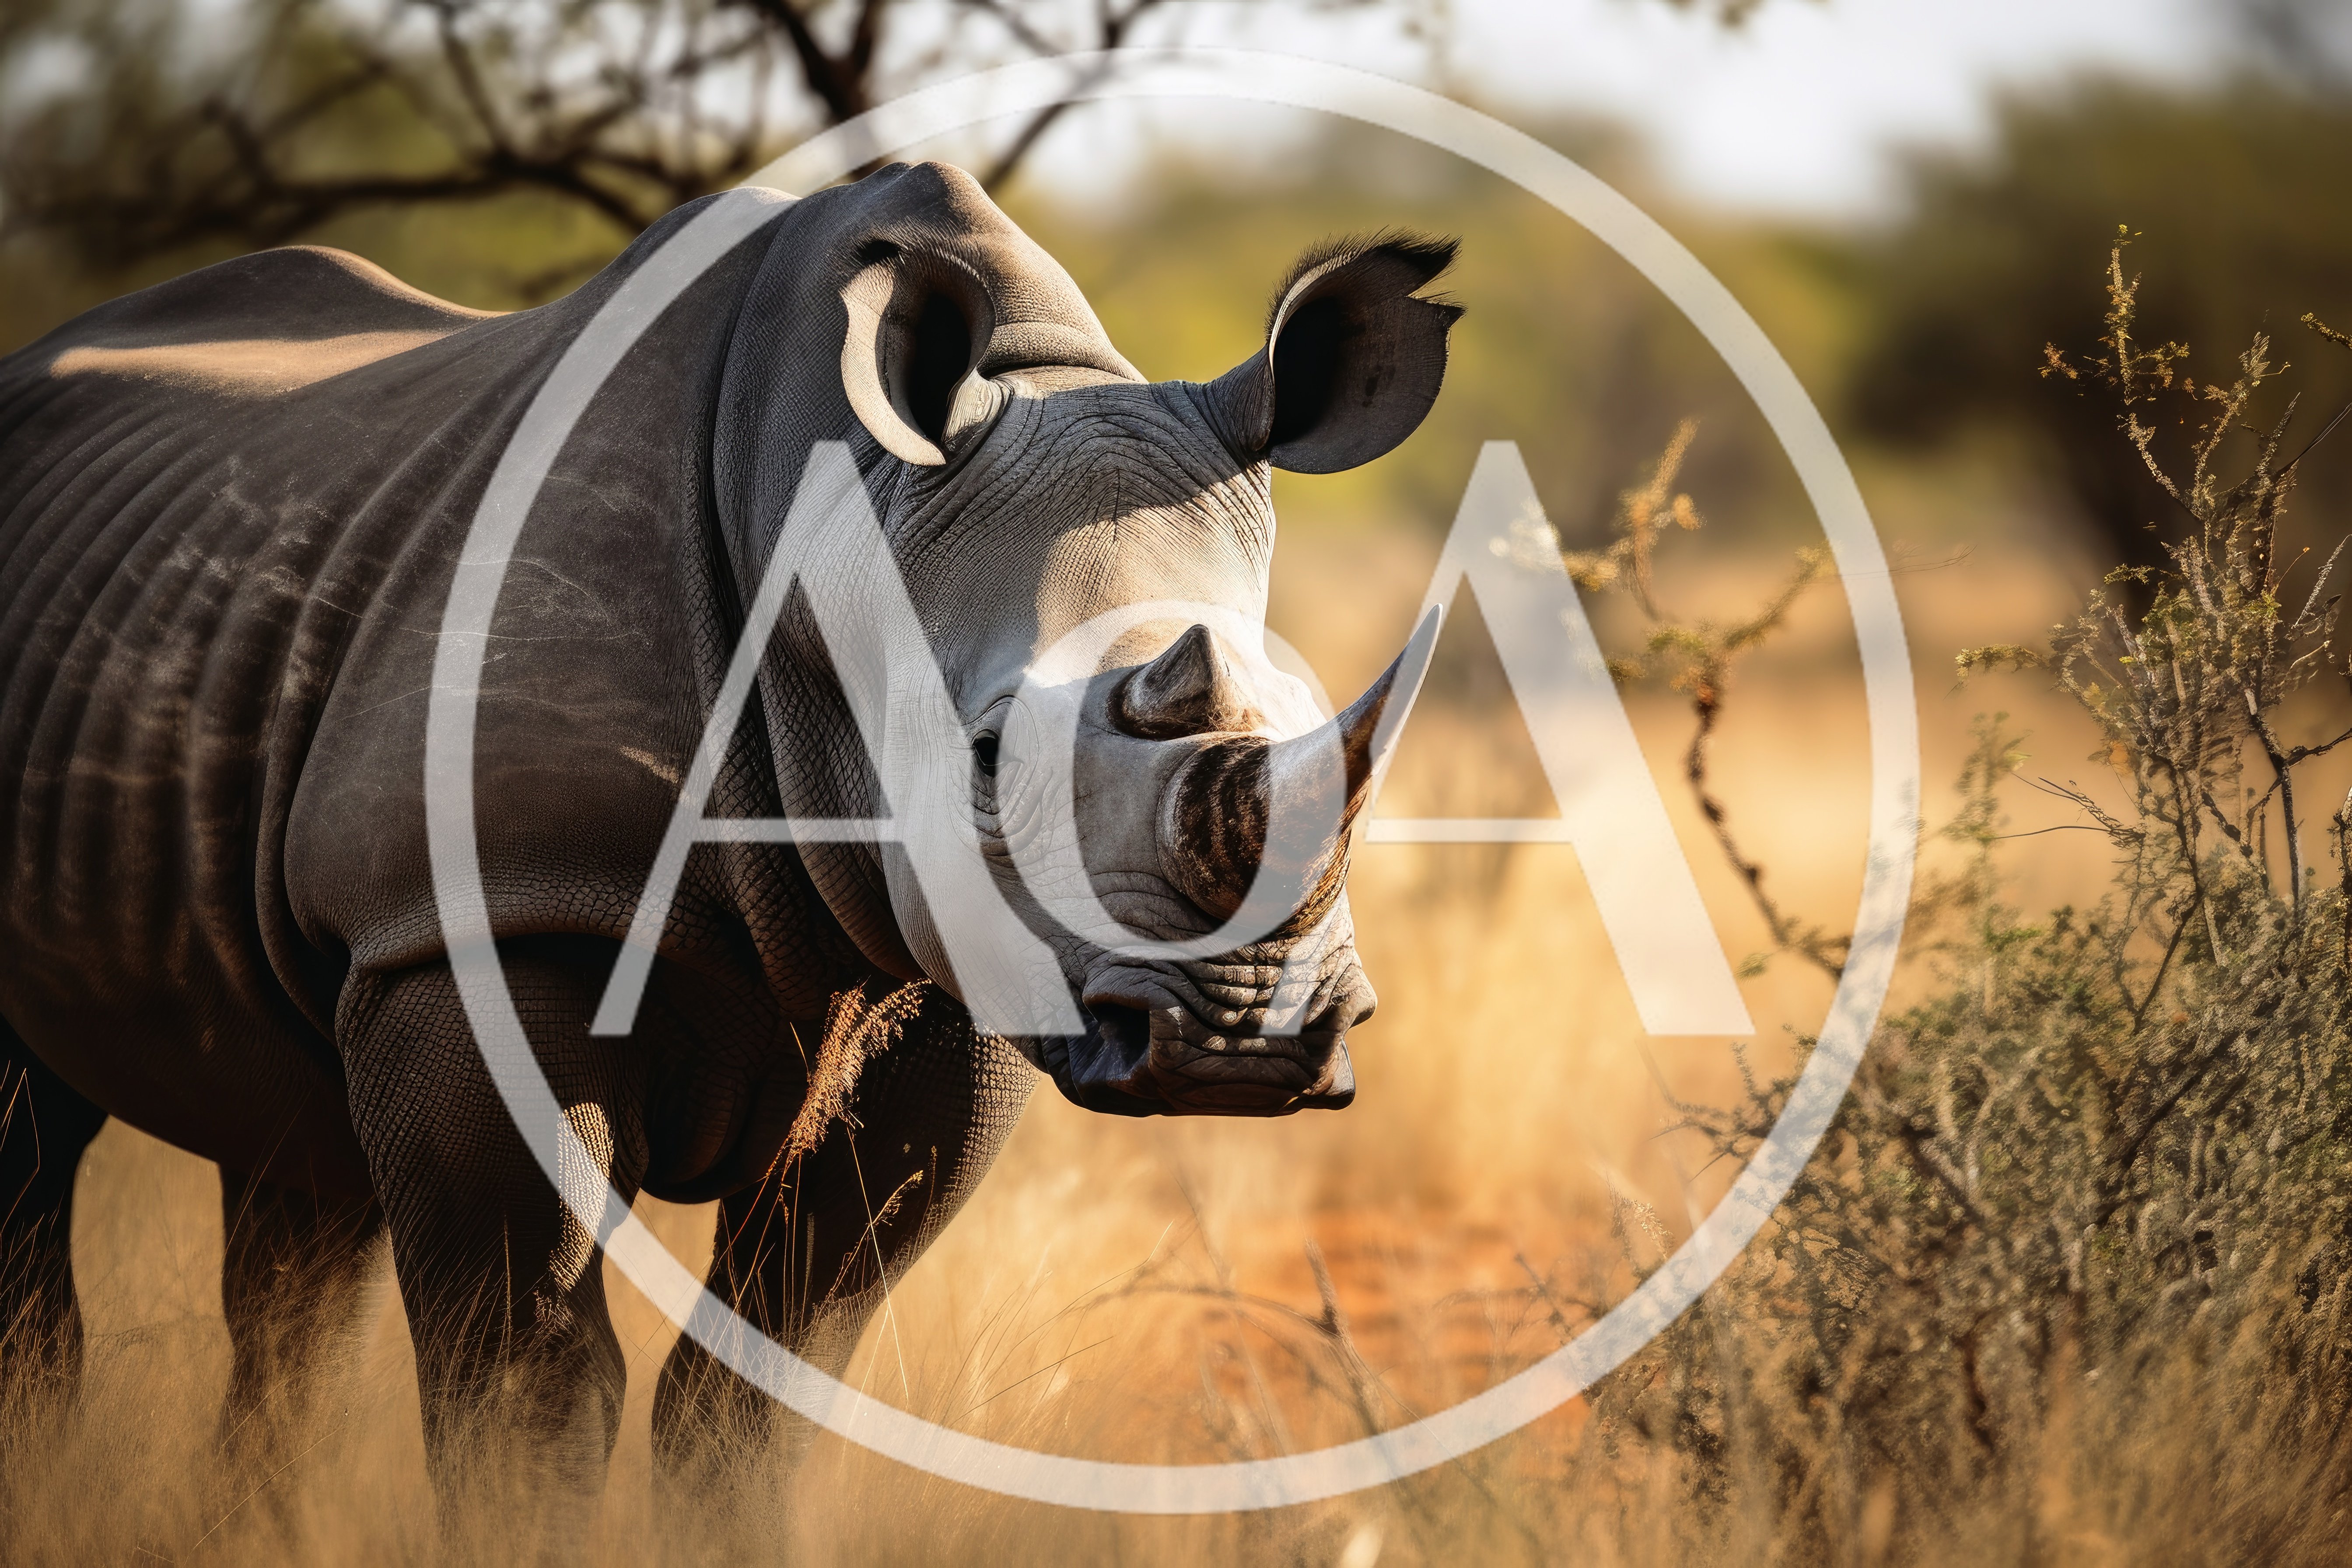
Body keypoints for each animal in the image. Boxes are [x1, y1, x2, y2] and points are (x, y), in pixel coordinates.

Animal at [0, 162, 1457, 1501]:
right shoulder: (472, 915)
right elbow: (527, 1382)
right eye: (990, 764)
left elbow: (762, 1387)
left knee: (296, 1188)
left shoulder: (959, 982)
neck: (848, 545)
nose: (1239, 1036)